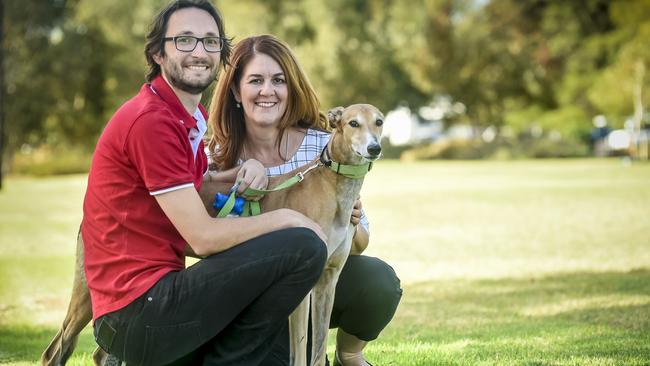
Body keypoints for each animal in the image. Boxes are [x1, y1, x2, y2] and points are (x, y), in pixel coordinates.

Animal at [40, 103, 382, 366]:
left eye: (378, 121)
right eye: (353, 123)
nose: (374, 148)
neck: (332, 186)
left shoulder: (328, 281)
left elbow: (319, 347)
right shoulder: (306, 290)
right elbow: (300, 353)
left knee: (99, 353)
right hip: (86, 295)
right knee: (55, 350)